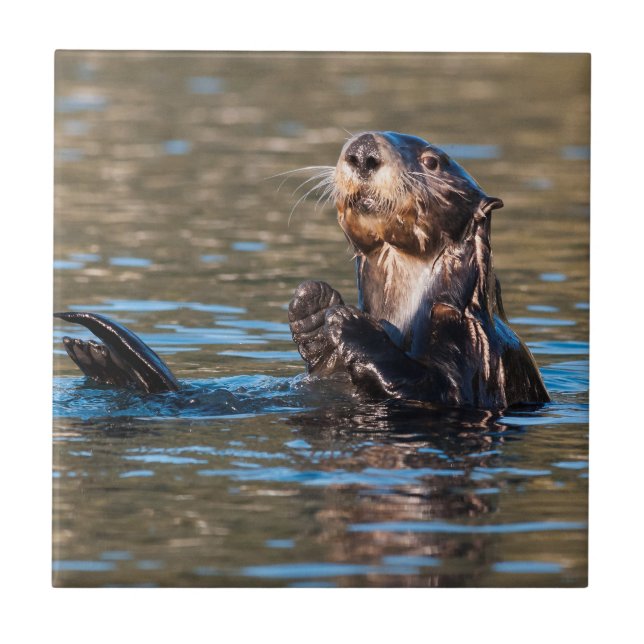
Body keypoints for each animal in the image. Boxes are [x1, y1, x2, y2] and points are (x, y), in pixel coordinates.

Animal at [55, 131, 549, 410]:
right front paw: (313, 306)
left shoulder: (471, 347)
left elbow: (436, 389)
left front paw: (350, 323)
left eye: (432, 161)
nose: (362, 152)